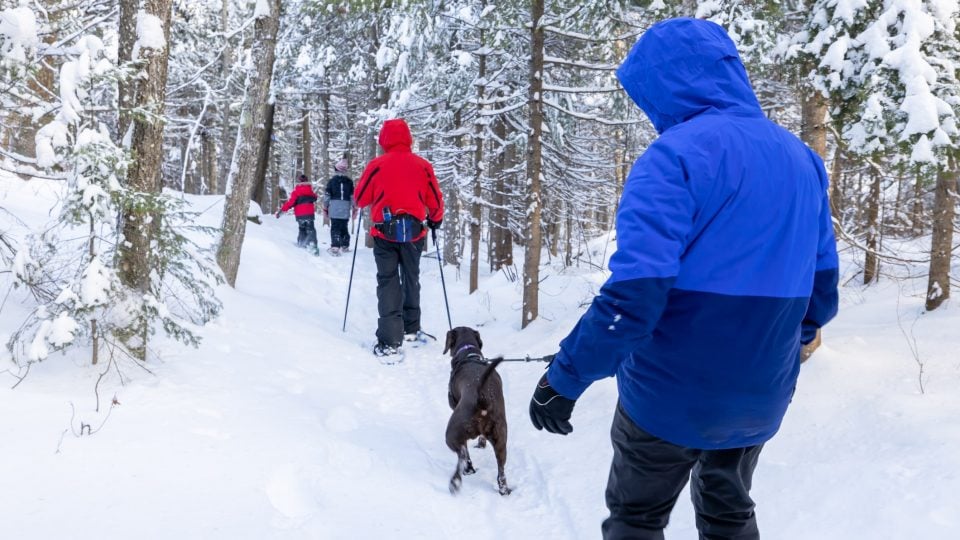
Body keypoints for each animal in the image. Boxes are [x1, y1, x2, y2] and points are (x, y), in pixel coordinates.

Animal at [442, 326, 510, 496]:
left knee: (462, 454)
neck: (469, 353)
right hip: (501, 438)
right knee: (501, 469)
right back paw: (504, 489)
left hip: (452, 433)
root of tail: (482, 398)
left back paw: (459, 478)